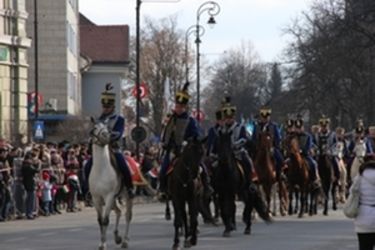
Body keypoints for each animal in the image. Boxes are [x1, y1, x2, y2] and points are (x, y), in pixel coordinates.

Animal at [89, 119, 134, 250]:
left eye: (108, 128)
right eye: (95, 128)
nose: (106, 136)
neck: (101, 169)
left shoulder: (108, 196)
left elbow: (105, 220)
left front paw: (104, 244)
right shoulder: (96, 198)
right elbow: (100, 220)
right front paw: (101, 243)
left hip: (126, 195)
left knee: (127, 215)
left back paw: (125, 241)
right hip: (113, 198)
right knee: (118, 211)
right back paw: (117, 237)